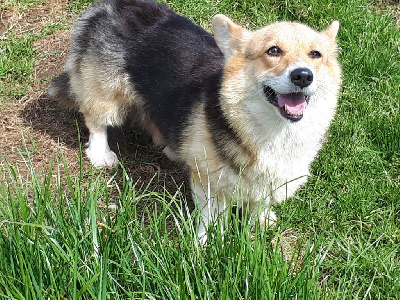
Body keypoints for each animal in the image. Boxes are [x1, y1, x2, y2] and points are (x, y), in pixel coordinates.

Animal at [49, 0, 340, 241]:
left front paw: (260, 220)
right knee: (95, 120)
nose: (303, 76)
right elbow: (212, 217)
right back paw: (101, 153)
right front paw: (208, 243)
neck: (274, 131)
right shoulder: (208, 181)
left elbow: (260, 202)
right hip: (105, 92)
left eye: (316, 54)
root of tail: (107, 5)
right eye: (274, 50)